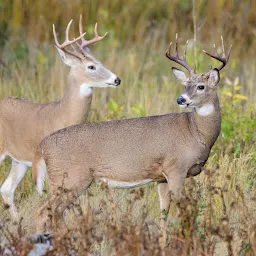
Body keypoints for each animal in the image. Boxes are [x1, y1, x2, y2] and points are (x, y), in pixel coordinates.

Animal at [0, 16, 120, 217]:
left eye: (100, 61)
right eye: (91, 66)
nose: (117, 79)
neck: (62, 115)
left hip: (19, 160)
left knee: (7, 189)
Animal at [33, 35, 231, 232]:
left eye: (201, 86)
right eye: (186, 85)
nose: (181, 99)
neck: (196, 132)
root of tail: (43, 145)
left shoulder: (162, 177)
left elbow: (164, 215)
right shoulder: (176, 168)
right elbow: (185, 213)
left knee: (55, 213)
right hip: (69, 178)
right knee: (43, 212)